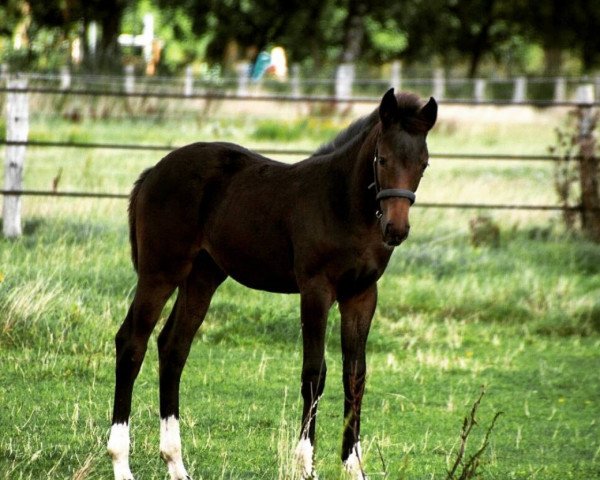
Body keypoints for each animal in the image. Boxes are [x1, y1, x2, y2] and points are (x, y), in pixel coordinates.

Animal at [106, 88, 436, 478]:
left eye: (423, 163)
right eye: (382, 159)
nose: (396, 229)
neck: (341, 203)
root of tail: (153, 171)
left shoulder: (362, 295)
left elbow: (355, 376)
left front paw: (354, 465)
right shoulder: (316, 290)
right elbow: (315, 373)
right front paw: (305, 463)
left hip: (202, 277)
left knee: (173, 348)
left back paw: (175, 463)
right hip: (161, 271)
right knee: (132, 343)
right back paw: (121, 462)